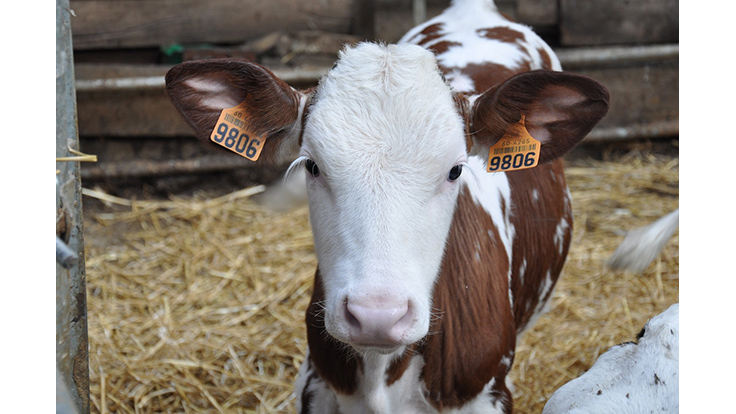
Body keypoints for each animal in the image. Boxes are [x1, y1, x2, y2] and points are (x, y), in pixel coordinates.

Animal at [164, 0, 609, 412]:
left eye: (454, 170)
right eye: (312, 165)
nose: (377, 315)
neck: (380, 376)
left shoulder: (488, 394)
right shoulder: (315, 386)